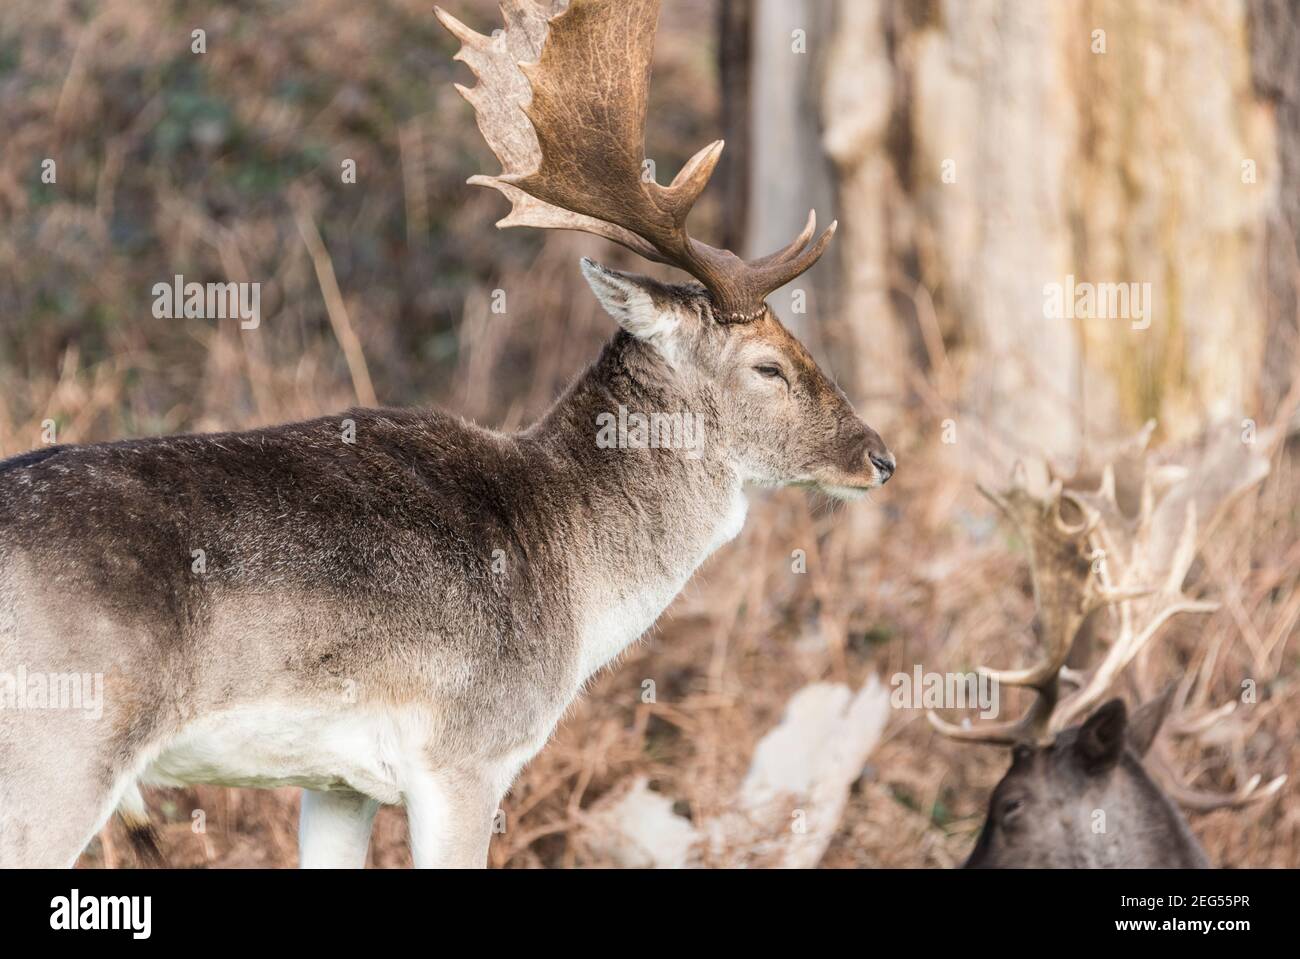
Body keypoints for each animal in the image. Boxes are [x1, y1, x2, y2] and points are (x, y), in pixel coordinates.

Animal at [0, 0, 894, 868]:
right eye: (768, 367)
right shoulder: (467, 752)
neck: (575, 587)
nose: (878, 456)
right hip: (59, 748)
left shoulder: (338, 782)